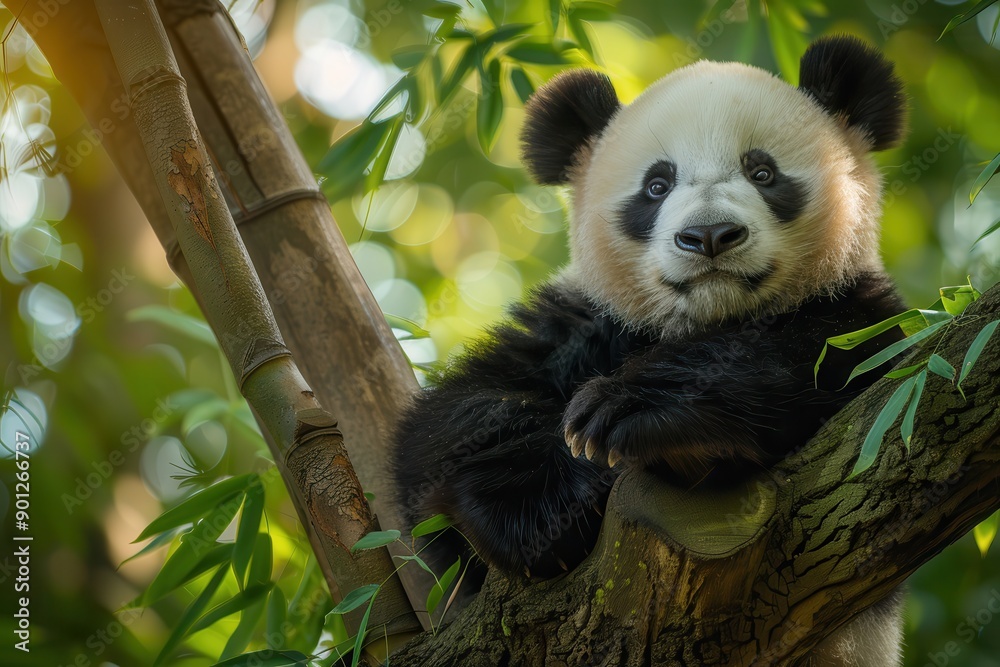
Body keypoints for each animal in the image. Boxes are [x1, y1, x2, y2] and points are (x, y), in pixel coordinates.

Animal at [392, 35, 908, 665]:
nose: (709, 236)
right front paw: (546, 510)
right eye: (656, 186)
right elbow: (452, 430)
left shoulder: (859, 315)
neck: (703, 320)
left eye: (762, 172)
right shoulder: (584, 324)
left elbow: (817, 369)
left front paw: (640, 413)